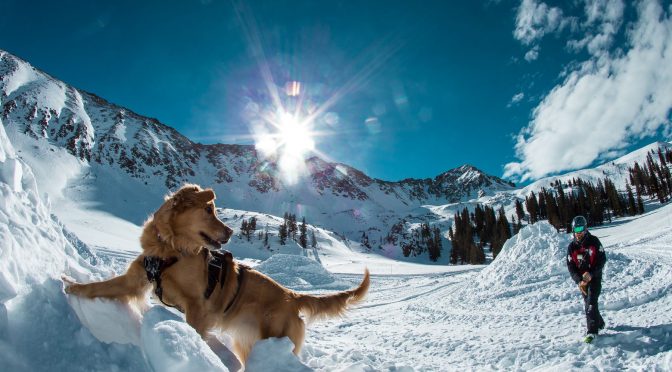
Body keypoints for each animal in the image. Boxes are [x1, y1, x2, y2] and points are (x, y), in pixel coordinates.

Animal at [63, 184, 370, 364]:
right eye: (208, 210)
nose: (232, 231)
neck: (170, 249)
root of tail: (292, 296)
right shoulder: (135, 280)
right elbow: (99, 287)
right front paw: (69, 285)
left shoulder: (198, 307)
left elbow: (196, 328)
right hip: (246, 341)